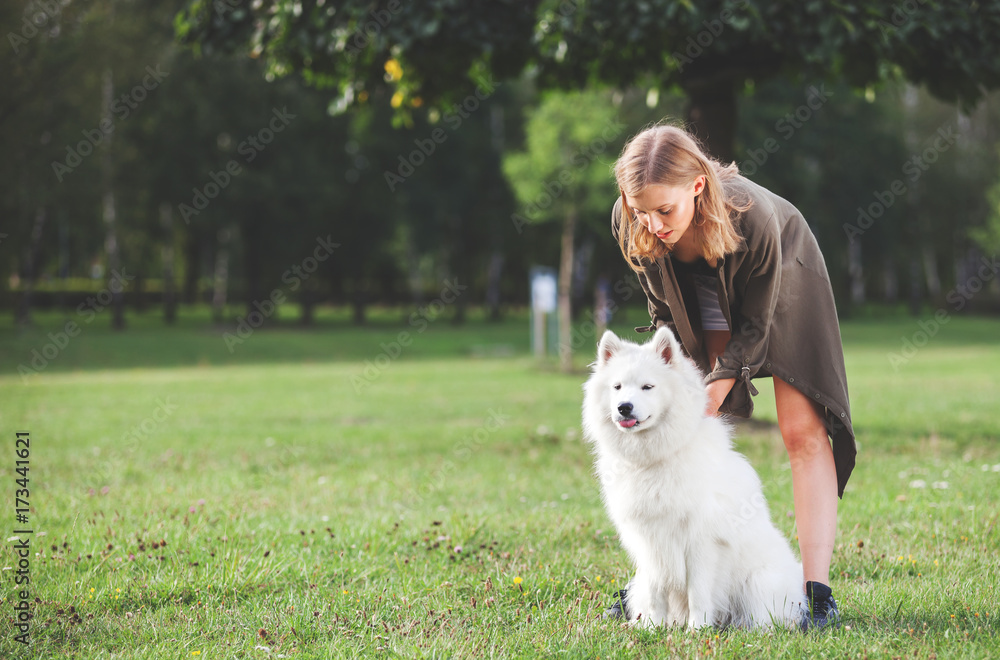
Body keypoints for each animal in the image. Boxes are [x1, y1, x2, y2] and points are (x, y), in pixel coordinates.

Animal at [584, 328, 804, 632]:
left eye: (647, 387)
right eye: (617, 387)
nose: (623, 407)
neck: (655, 458)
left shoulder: (701, 542)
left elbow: (698, 592)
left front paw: (696, 630)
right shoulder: (650, 541)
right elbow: (656, 592)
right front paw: (653, 628)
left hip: (760, 582)